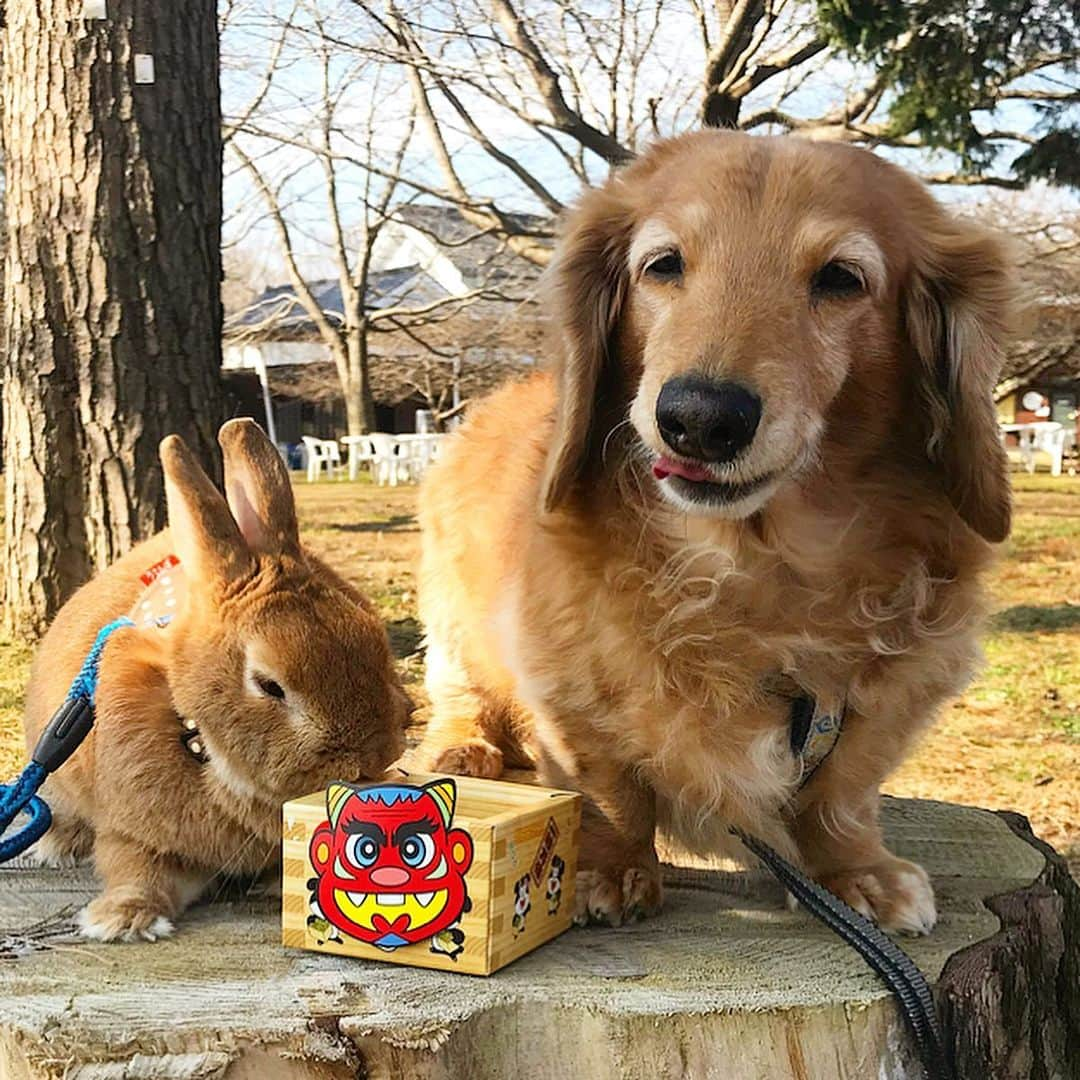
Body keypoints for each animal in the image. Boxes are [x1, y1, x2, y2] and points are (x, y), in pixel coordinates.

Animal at [22, 416, 408, 941]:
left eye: (374, 637)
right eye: (269, 684)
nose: (374, 760)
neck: (206, 750)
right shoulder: (134, 829)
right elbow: (134, 868)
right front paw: (122, 920)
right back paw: (56, 845)